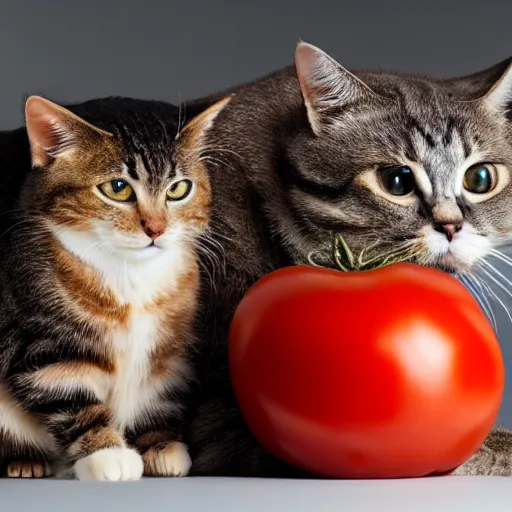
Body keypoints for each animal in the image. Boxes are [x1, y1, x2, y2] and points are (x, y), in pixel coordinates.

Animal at [0, 93, 230, 480]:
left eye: (178, 189)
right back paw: (24, 462)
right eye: (118, 188)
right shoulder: (38, 337)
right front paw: (106, 453)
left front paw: (161, 445)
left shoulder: (171, 348)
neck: (128, 274)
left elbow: (159, 393)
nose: (156, 229)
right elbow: (69, 394)